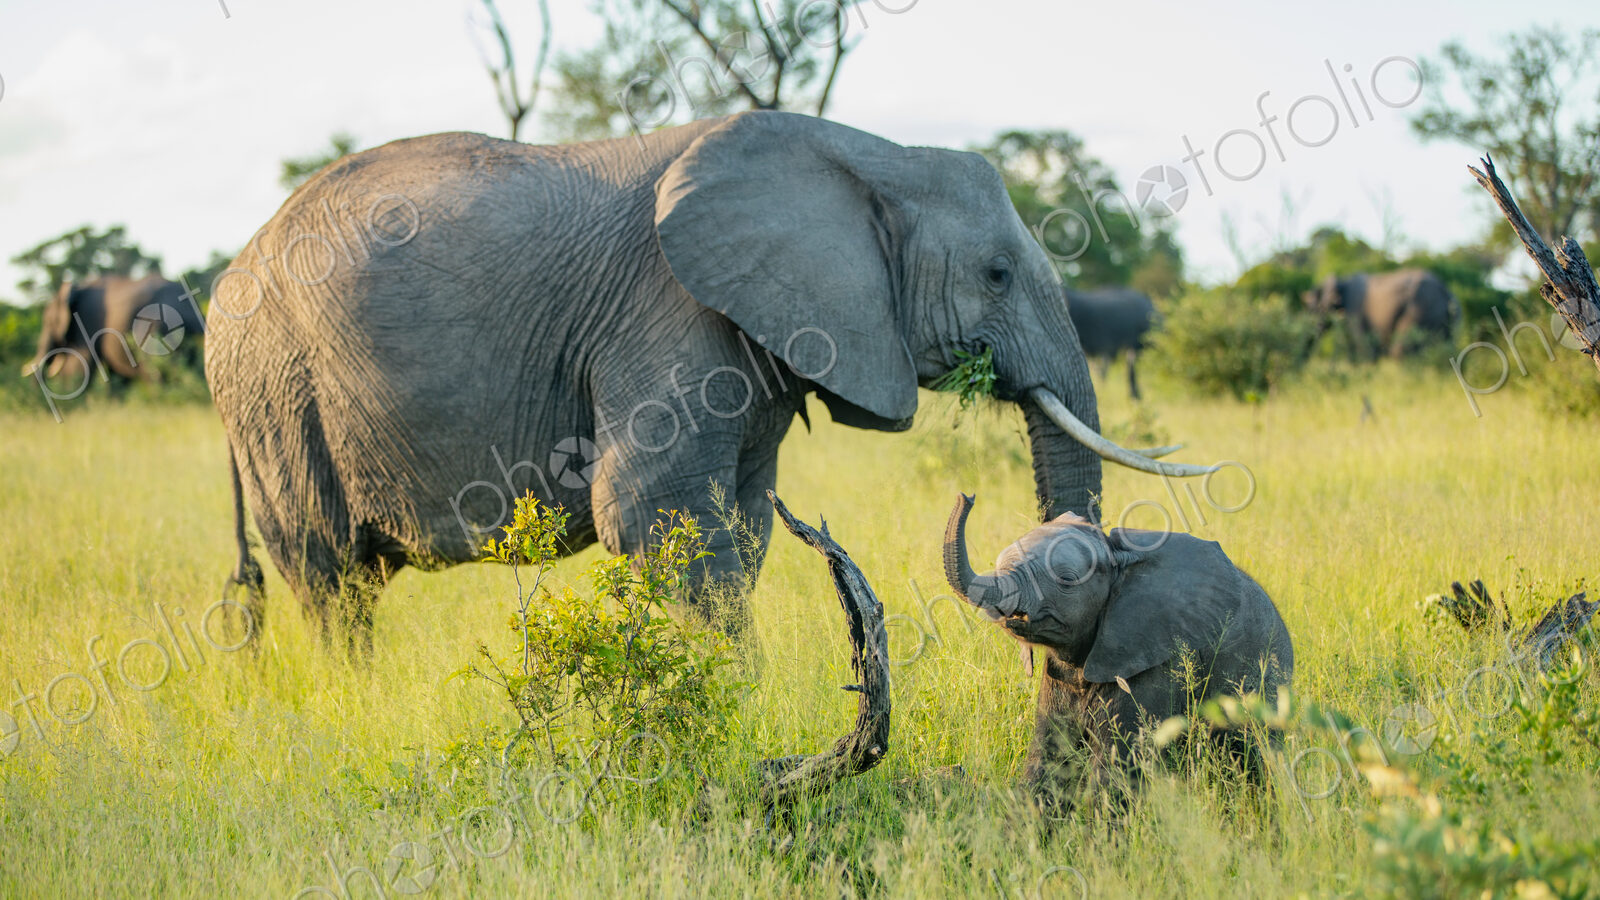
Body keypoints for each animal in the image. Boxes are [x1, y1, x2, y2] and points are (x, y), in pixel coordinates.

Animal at [206, 111, 1215, 652]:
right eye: (998, 275)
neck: (869, 153)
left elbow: (744, 518)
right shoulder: (666, 309)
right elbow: (653, 509)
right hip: (275, 387)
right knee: (330, 575)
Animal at [942, 493, 1293, 804]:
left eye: (1066, 579)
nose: (966, 497)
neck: (1118, 558)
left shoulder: (1156, 657)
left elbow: (1117, 763)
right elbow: (1050, 754)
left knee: (1255, 754)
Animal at [1302, 268, 1457, 360]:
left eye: (1314, 310)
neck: (1342, 280)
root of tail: (1445, 290)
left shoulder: (1354, 309)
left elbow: (1363, 346)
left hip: (1420, 310)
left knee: (1400, 351)